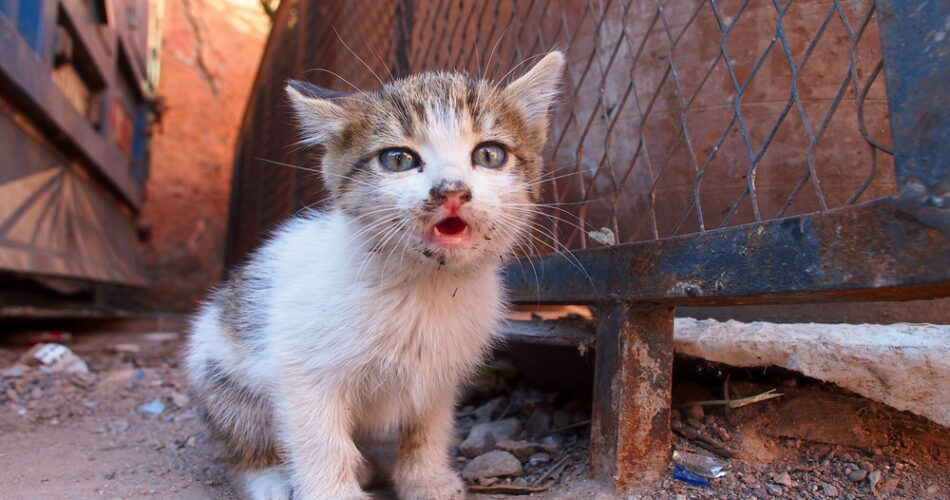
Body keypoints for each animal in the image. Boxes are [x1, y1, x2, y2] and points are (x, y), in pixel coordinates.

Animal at [188, 51, 564, 500]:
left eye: (489, 155)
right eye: (397, 159)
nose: (451, 191)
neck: (425, 284)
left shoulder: (439, 375)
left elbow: (427, 426)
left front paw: (426, 478)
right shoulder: (300, 367)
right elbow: (319, 438)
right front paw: (332, 492)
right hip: (221, 381)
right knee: (247, 442)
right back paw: (273, 479)